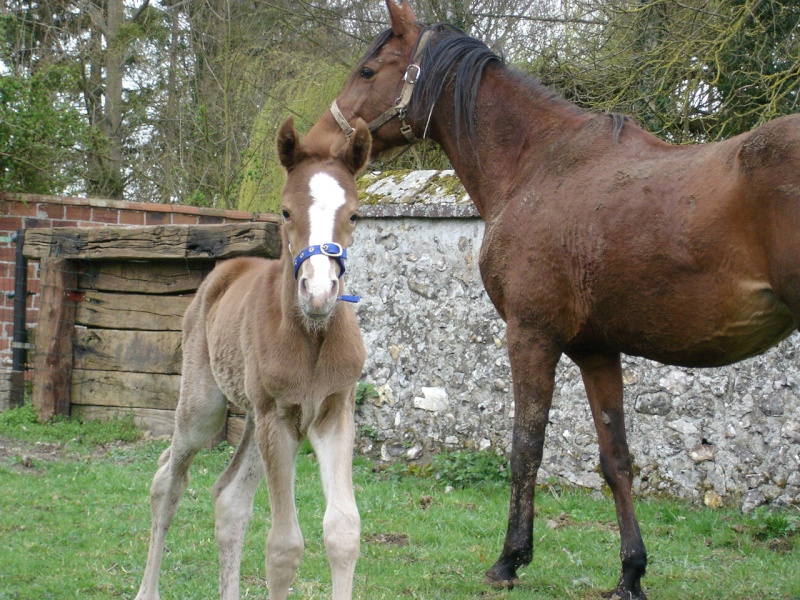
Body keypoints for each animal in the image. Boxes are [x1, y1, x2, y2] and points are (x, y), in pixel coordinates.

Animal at [136, 117, 374, 600]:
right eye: (285, 211)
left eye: (355, 214)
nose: (318, 292)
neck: (312, 337)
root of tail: (225, 271)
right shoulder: (277, 418)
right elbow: (284, 548)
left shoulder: (333, 413)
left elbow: (343, 531)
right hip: (205, 409)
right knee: (167, 482)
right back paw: (146, 589)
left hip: (250, 416)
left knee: (229, 498)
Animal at [314, 2, 800, 596]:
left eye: (367, 70)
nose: (320, 141)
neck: (538, 165)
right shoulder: (596, 350)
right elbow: (616, 459)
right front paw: (631, 571)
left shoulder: (531, 336)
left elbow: (526, 447)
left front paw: (510, 559)